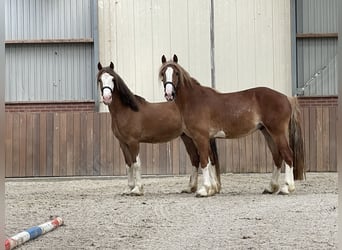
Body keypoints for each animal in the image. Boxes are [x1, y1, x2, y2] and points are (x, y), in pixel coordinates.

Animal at [97, 62, 219, 195]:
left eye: (113, 79)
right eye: (100, 80)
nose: (107, 98)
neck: (126, 111)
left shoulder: (133, 142)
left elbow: (136, 164)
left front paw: (137, 189)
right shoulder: (123, 143)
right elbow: (128, 165)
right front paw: (128, 188)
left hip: (197, 137)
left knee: (208, 159)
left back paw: (212, 188)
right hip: (188, 138)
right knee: (195, 159)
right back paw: (191, 188)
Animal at [159, 54, 306, 197]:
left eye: (176, 73)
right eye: (163, 74)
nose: (169, 94)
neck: (194, 100)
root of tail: (287, 98)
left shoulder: (200, 137)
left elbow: (204, 161)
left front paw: (204, 190)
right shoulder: (208, 138)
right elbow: (211, 161)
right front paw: (212, 189)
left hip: (277, 132)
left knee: (287, 154)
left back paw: (287, 188)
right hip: (267, 132)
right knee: (277, 156)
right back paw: (271, 188)